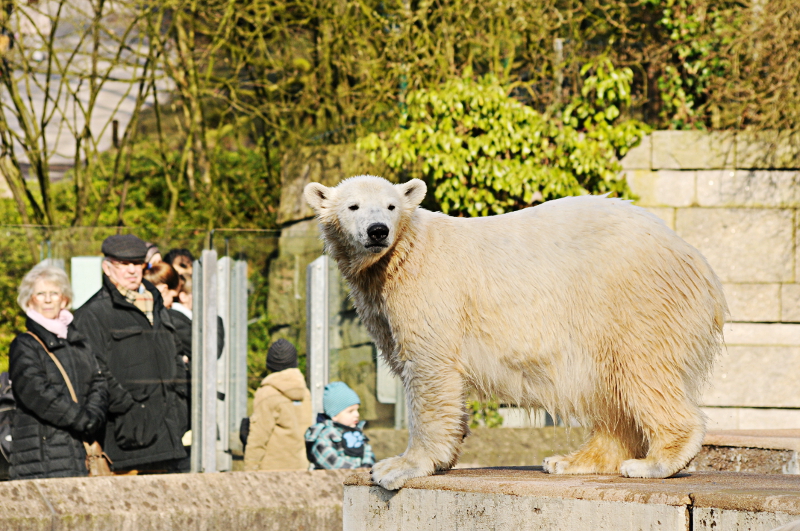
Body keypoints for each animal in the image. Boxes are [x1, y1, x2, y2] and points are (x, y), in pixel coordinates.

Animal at [304, 175, 727, 491]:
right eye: (353, 206)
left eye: (391, 206)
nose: (378, 231)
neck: (404, 253)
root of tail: (696, 259)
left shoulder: (430, 292)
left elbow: (429, 372)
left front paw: (398, 466)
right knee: (610, 390)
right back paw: (570, 460)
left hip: (631, 299)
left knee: (641, 370)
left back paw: (654, 462)